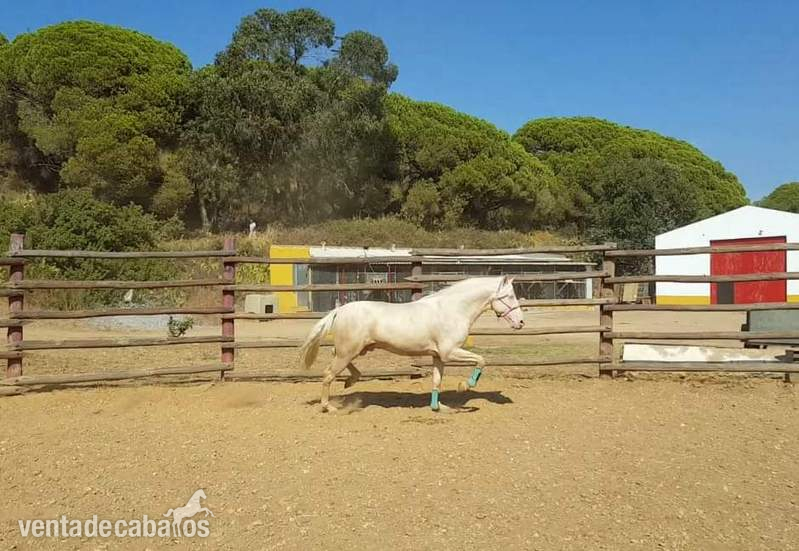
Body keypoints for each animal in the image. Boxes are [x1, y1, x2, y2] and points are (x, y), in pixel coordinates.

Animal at [299, 275, 524, 412]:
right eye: (509, 296)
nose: (521, 322)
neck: (453, 309)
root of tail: (340, 310)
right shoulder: (450, 351)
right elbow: (481, 360)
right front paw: (464, 386)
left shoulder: (438, 356)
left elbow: (436, 381)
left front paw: (438, 408)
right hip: (348, 351)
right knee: (328, 374)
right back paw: (329, 407)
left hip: (354, 349)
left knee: (338, 364)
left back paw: (350, 381)